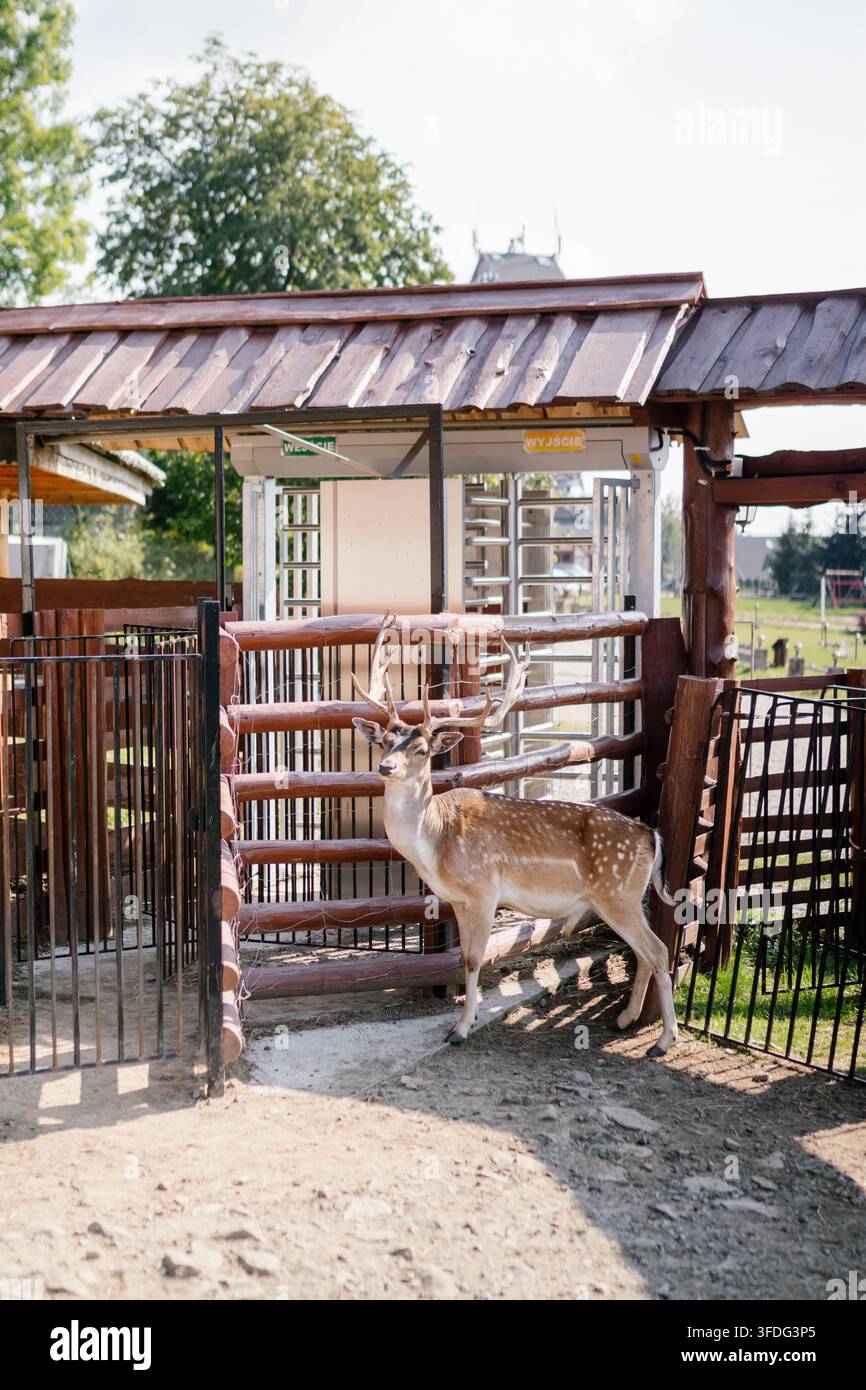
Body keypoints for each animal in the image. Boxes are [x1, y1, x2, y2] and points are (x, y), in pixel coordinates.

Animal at [351, 614, 678, 1056]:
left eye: (421, 750)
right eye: (385, 741)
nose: (385, 768)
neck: (434, 844)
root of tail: (651, 835)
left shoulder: (484, 890)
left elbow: (474, 960)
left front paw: (461, 1029)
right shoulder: (458, 900)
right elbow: (463, 959)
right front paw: (465, 1022)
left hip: (617, 893)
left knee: (658, 951)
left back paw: (663, 1040)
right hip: (629, 896)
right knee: (645, 951)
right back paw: (626, 1019)